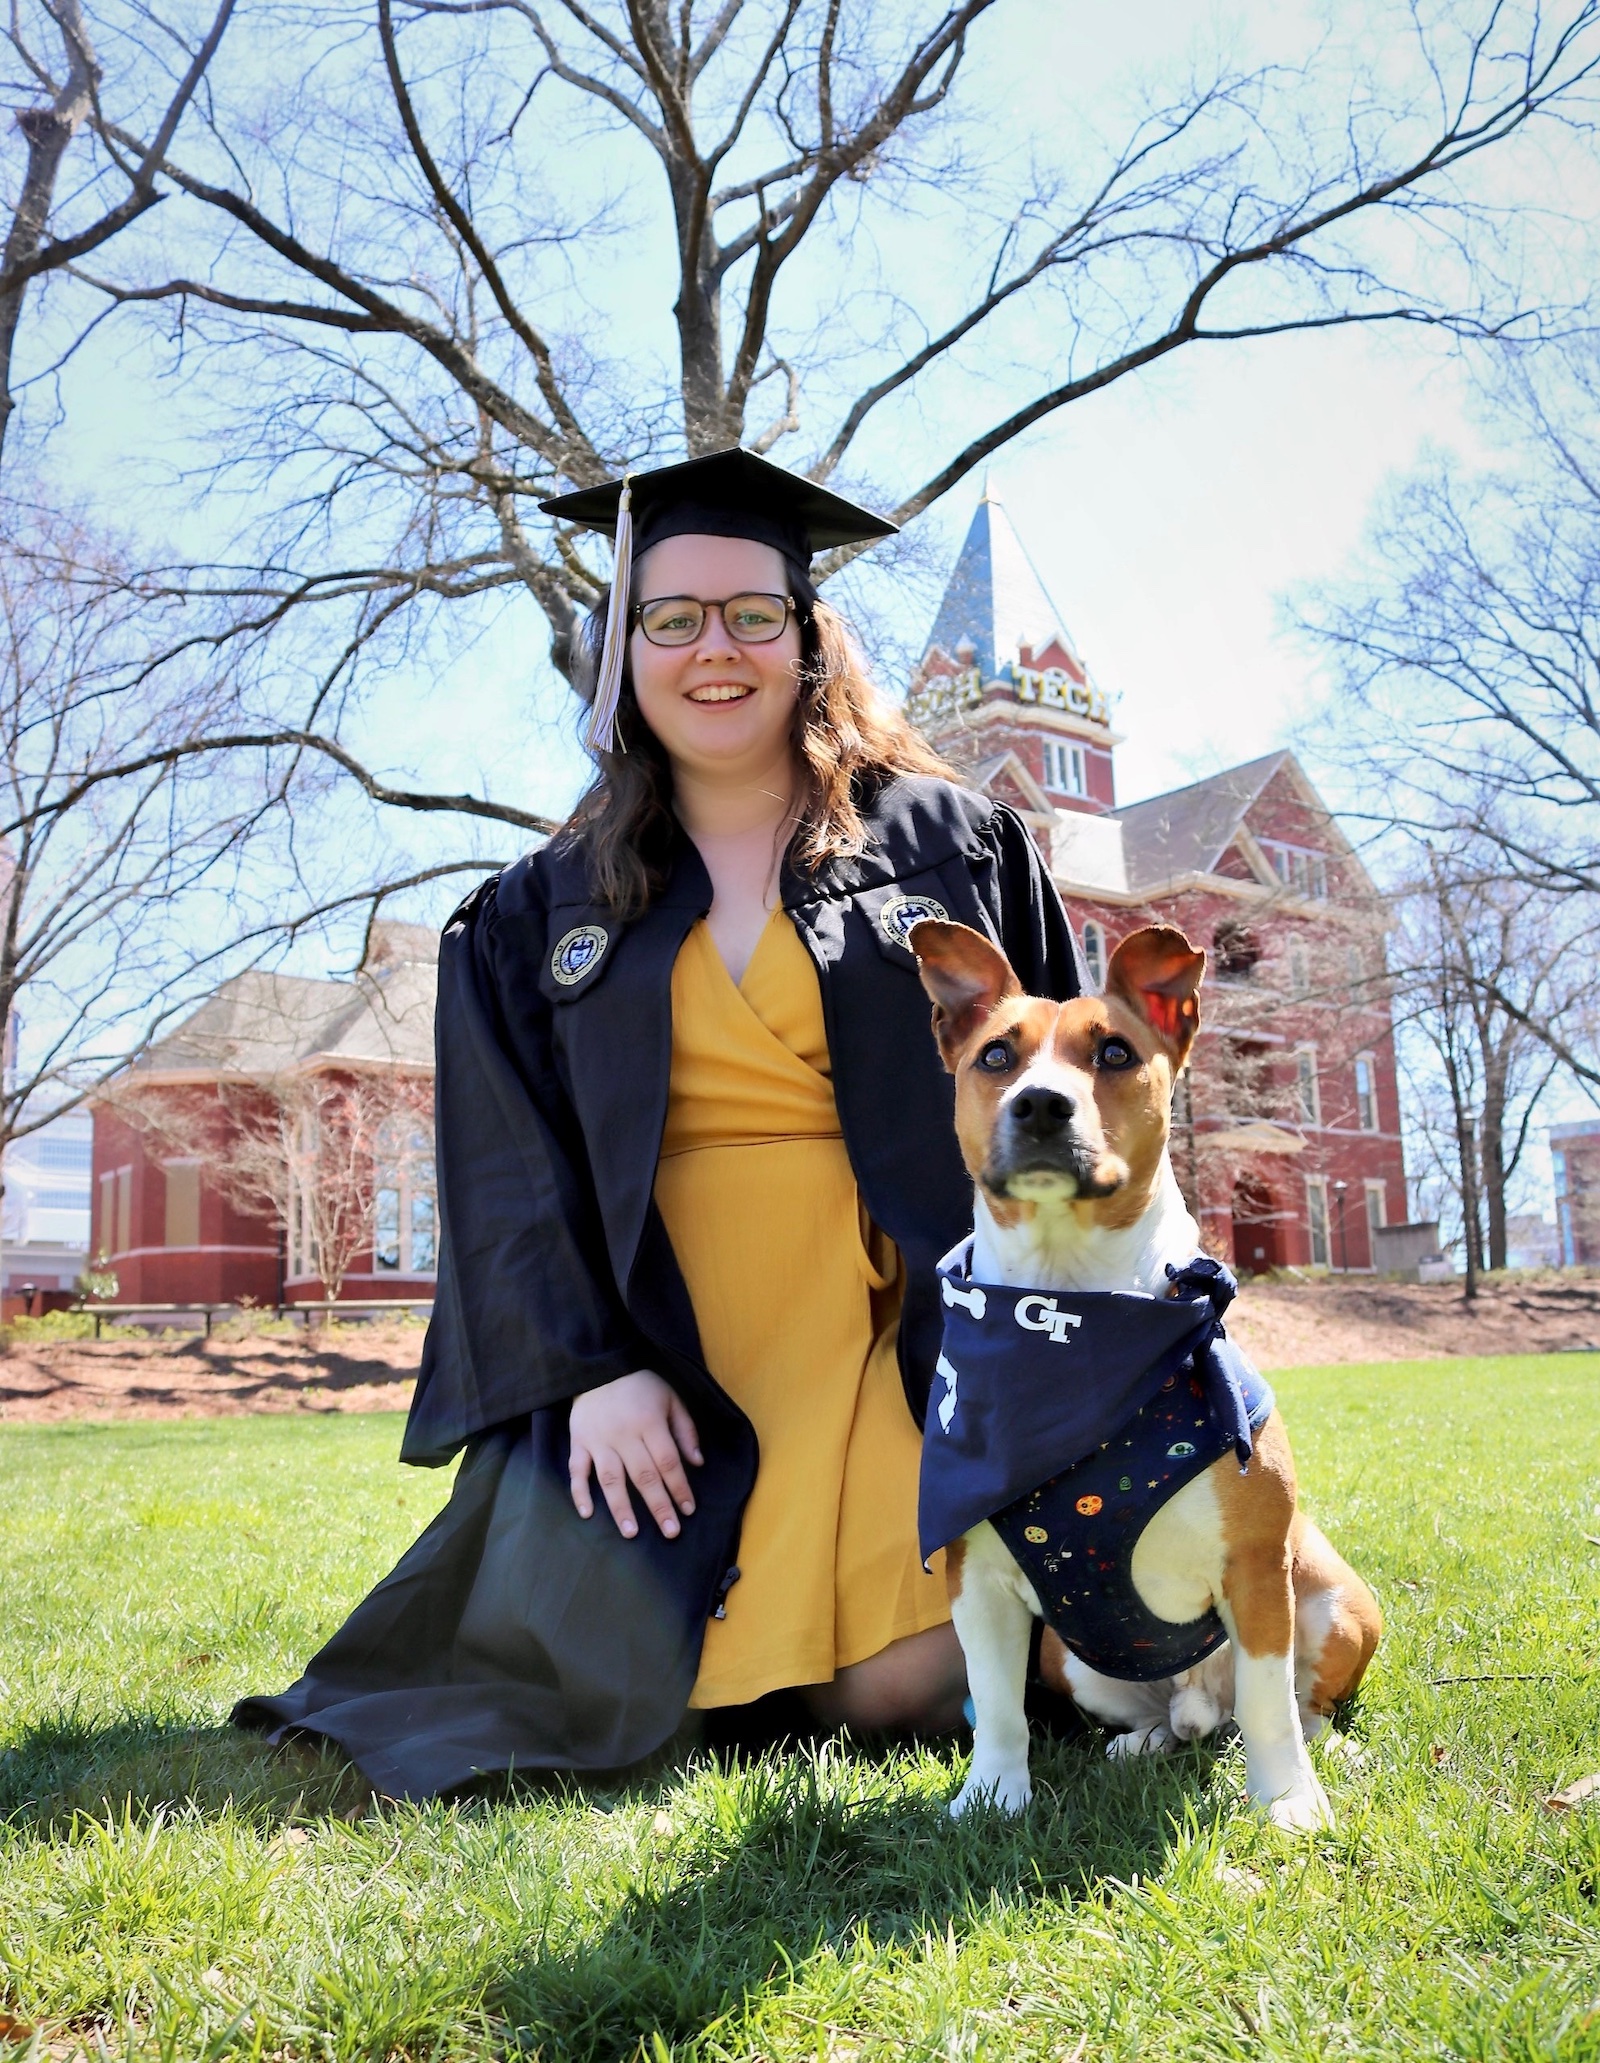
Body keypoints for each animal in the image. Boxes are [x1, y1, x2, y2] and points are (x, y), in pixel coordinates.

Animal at [907, 911, 1377, 1831]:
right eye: (996, 1056)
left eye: (1116, 1052)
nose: (1041, 1102)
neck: (1068, 1314)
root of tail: (1197, 1700)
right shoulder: (976, 1581)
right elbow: (997, 1703)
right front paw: (991, 1794)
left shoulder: (1258, 1571)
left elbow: (1271, 1703)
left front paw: (1288, 1798)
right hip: (1072, 1656)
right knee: (1169, 1717)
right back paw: (1146, 1741)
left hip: (1338, 1601)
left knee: (1292, 1703)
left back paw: (1324, 1749)